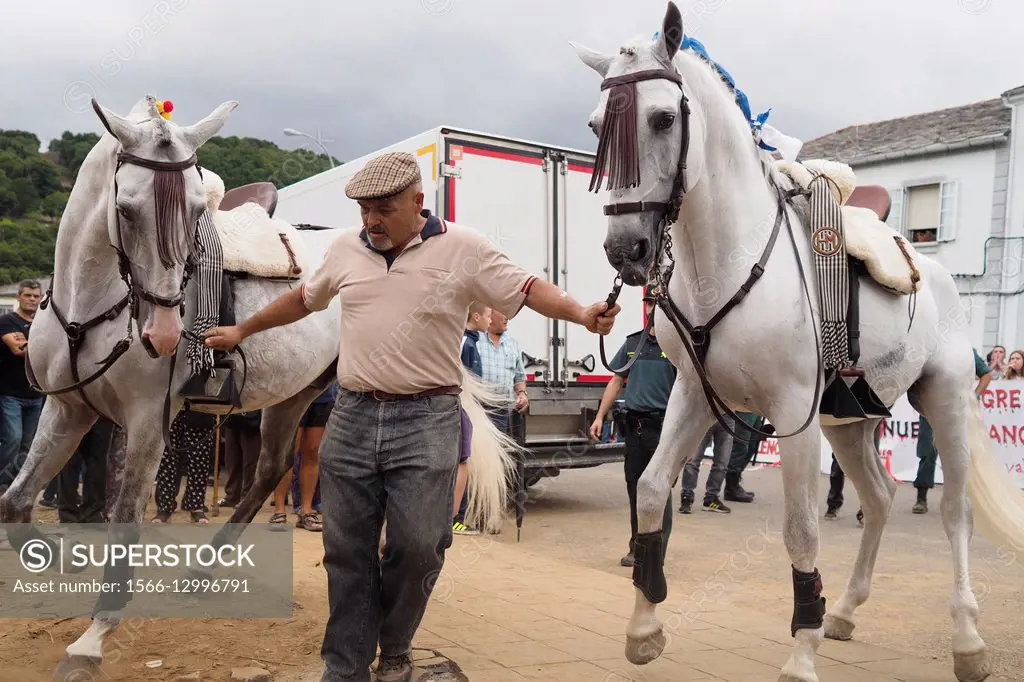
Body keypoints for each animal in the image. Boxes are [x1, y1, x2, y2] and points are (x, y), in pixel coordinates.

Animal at [0, 94, 516, 675]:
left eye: (197, 214)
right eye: (127, 209)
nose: (163, 335)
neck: (89, 306)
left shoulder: (146, 424)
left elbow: (125, 520)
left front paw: (93, 637)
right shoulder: (68, 409)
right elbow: (16, 502)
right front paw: (64, 557)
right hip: (297, 393)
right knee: (271, 468)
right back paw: (204, 568)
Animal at [569, 2, 1024, 675]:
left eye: (663, 117)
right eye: (598, 125)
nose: (627, 249)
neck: (728, 262)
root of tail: (934, 273)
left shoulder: (791, 412)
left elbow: (803, 528)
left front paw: (800, 654)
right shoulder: (696, 397)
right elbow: (650, 490)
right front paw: (645, 626)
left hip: (942, 399)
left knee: (954, 513)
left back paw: (967, 640)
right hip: (851, 422)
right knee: (881, 498)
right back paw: (845, 611)